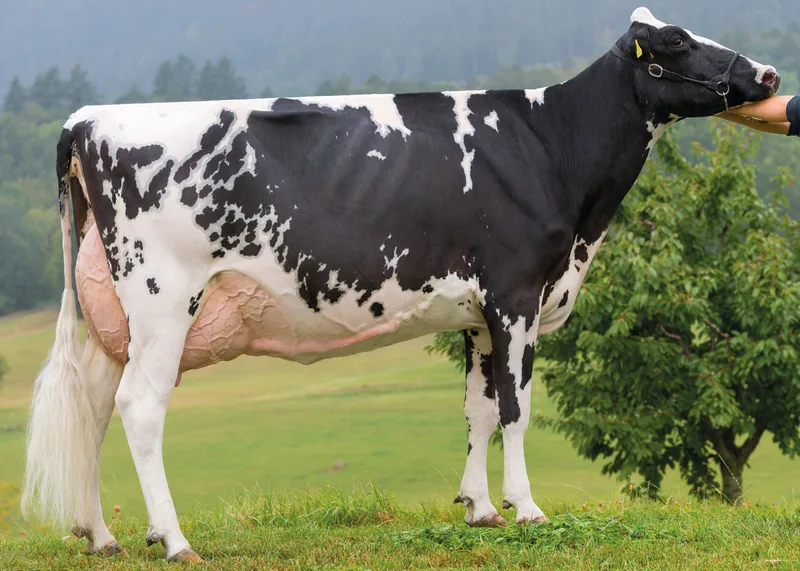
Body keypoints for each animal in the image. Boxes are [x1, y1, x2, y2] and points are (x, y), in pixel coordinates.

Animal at [21, 7, 780, 562]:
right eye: (676, 42)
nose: (769, 72)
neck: (550, 147)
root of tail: (88, 118)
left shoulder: (478, 310)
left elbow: (477, 409)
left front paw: (480, 508)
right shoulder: (516, 292)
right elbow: (516, 408)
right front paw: (528, 509)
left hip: (113, 316)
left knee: (92, 405)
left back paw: (102, 535)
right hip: (162, 300)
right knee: (139, 407)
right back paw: (174, 540)